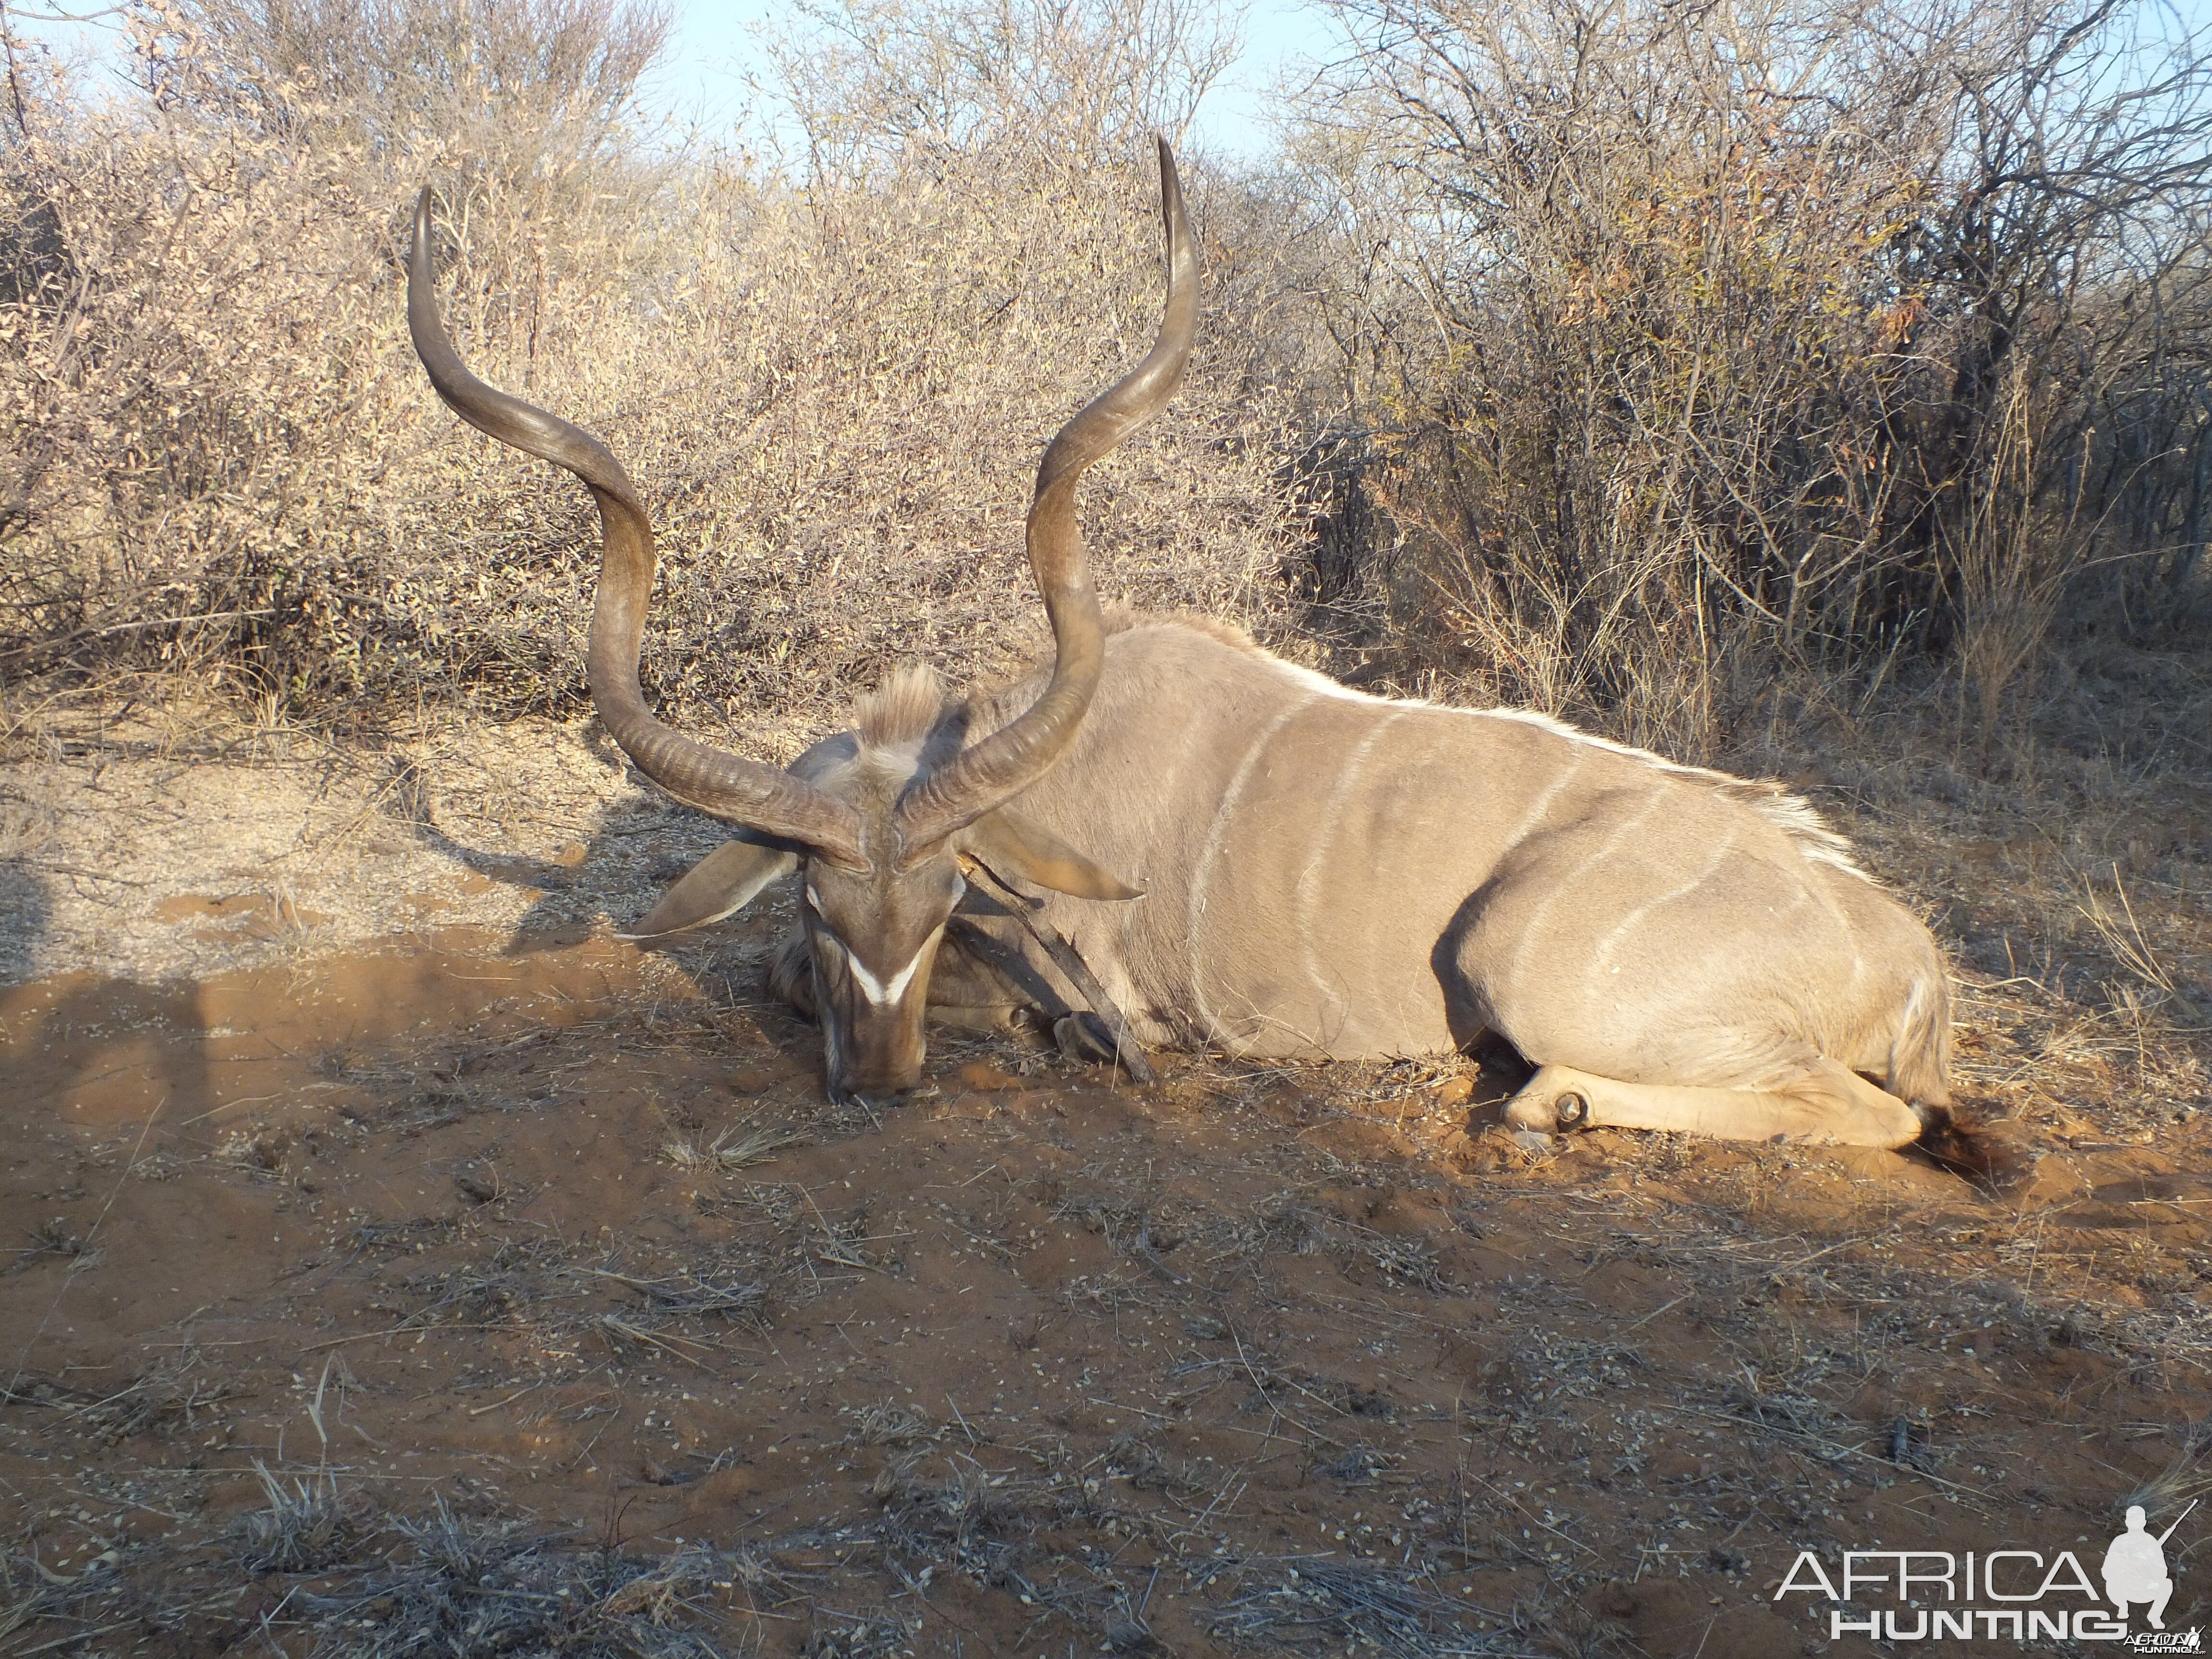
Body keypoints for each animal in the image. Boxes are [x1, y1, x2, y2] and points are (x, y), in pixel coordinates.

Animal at [407, 143, 1964, 1159]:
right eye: (815, 900)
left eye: (942, 909)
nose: (886, 1082)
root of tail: (1911, 957)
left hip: (1528, 961)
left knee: (1876, 1113)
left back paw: (1557, 1101)